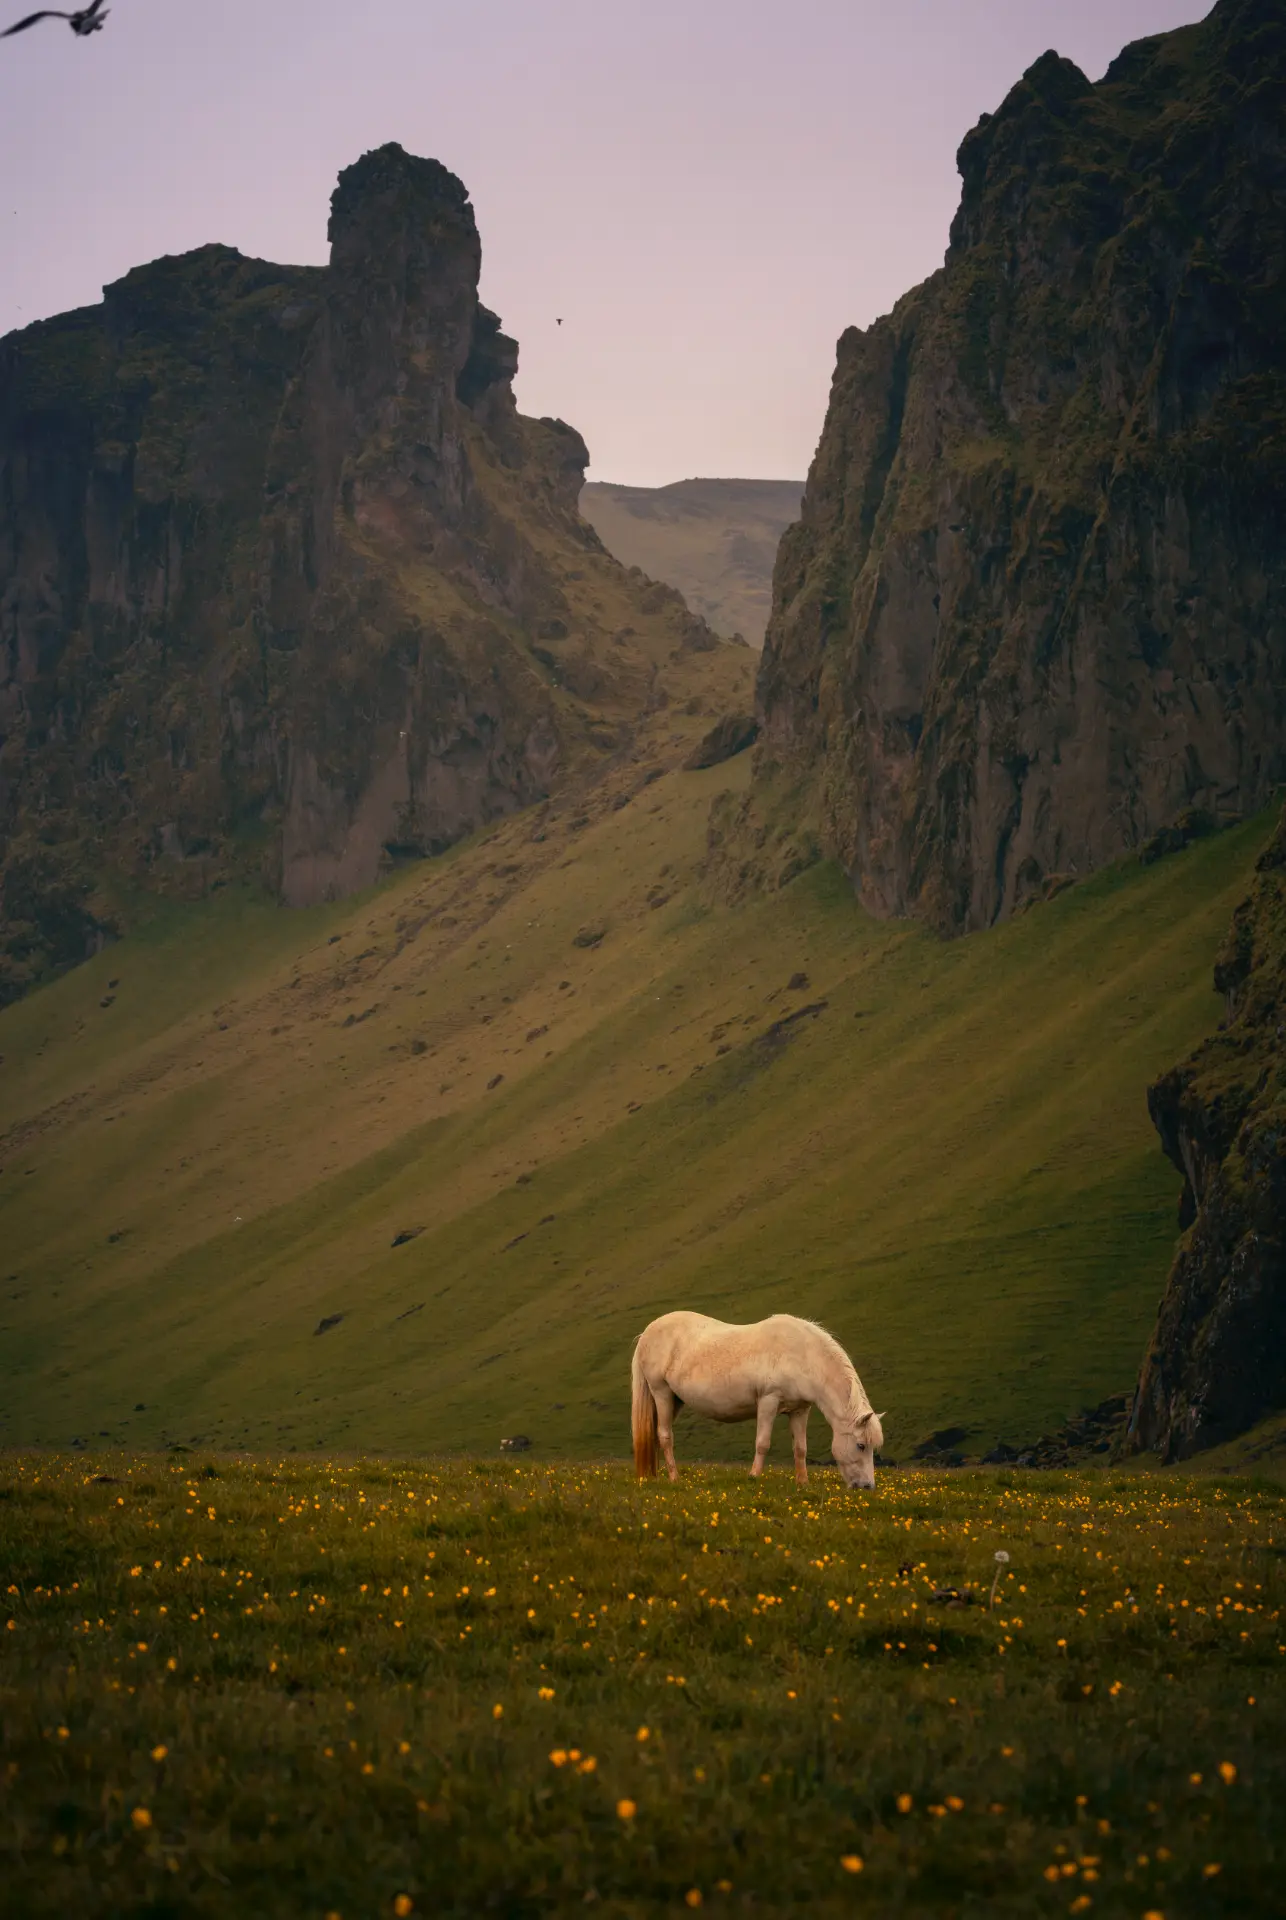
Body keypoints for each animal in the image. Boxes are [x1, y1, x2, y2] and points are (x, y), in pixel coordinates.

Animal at [631, 1310, 884, 1489]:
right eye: (861, 1445)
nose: (867, 1487)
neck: (802, 1354)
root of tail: (647, 1333)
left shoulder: (800, 1410)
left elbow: (800, 1448)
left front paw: (802, 1483)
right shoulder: (768, 1402)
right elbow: (762, 1443)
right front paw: (753, 1476)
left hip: (674, 1400)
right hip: (661, 1393)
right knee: (665, 1436)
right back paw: (675, 1478)